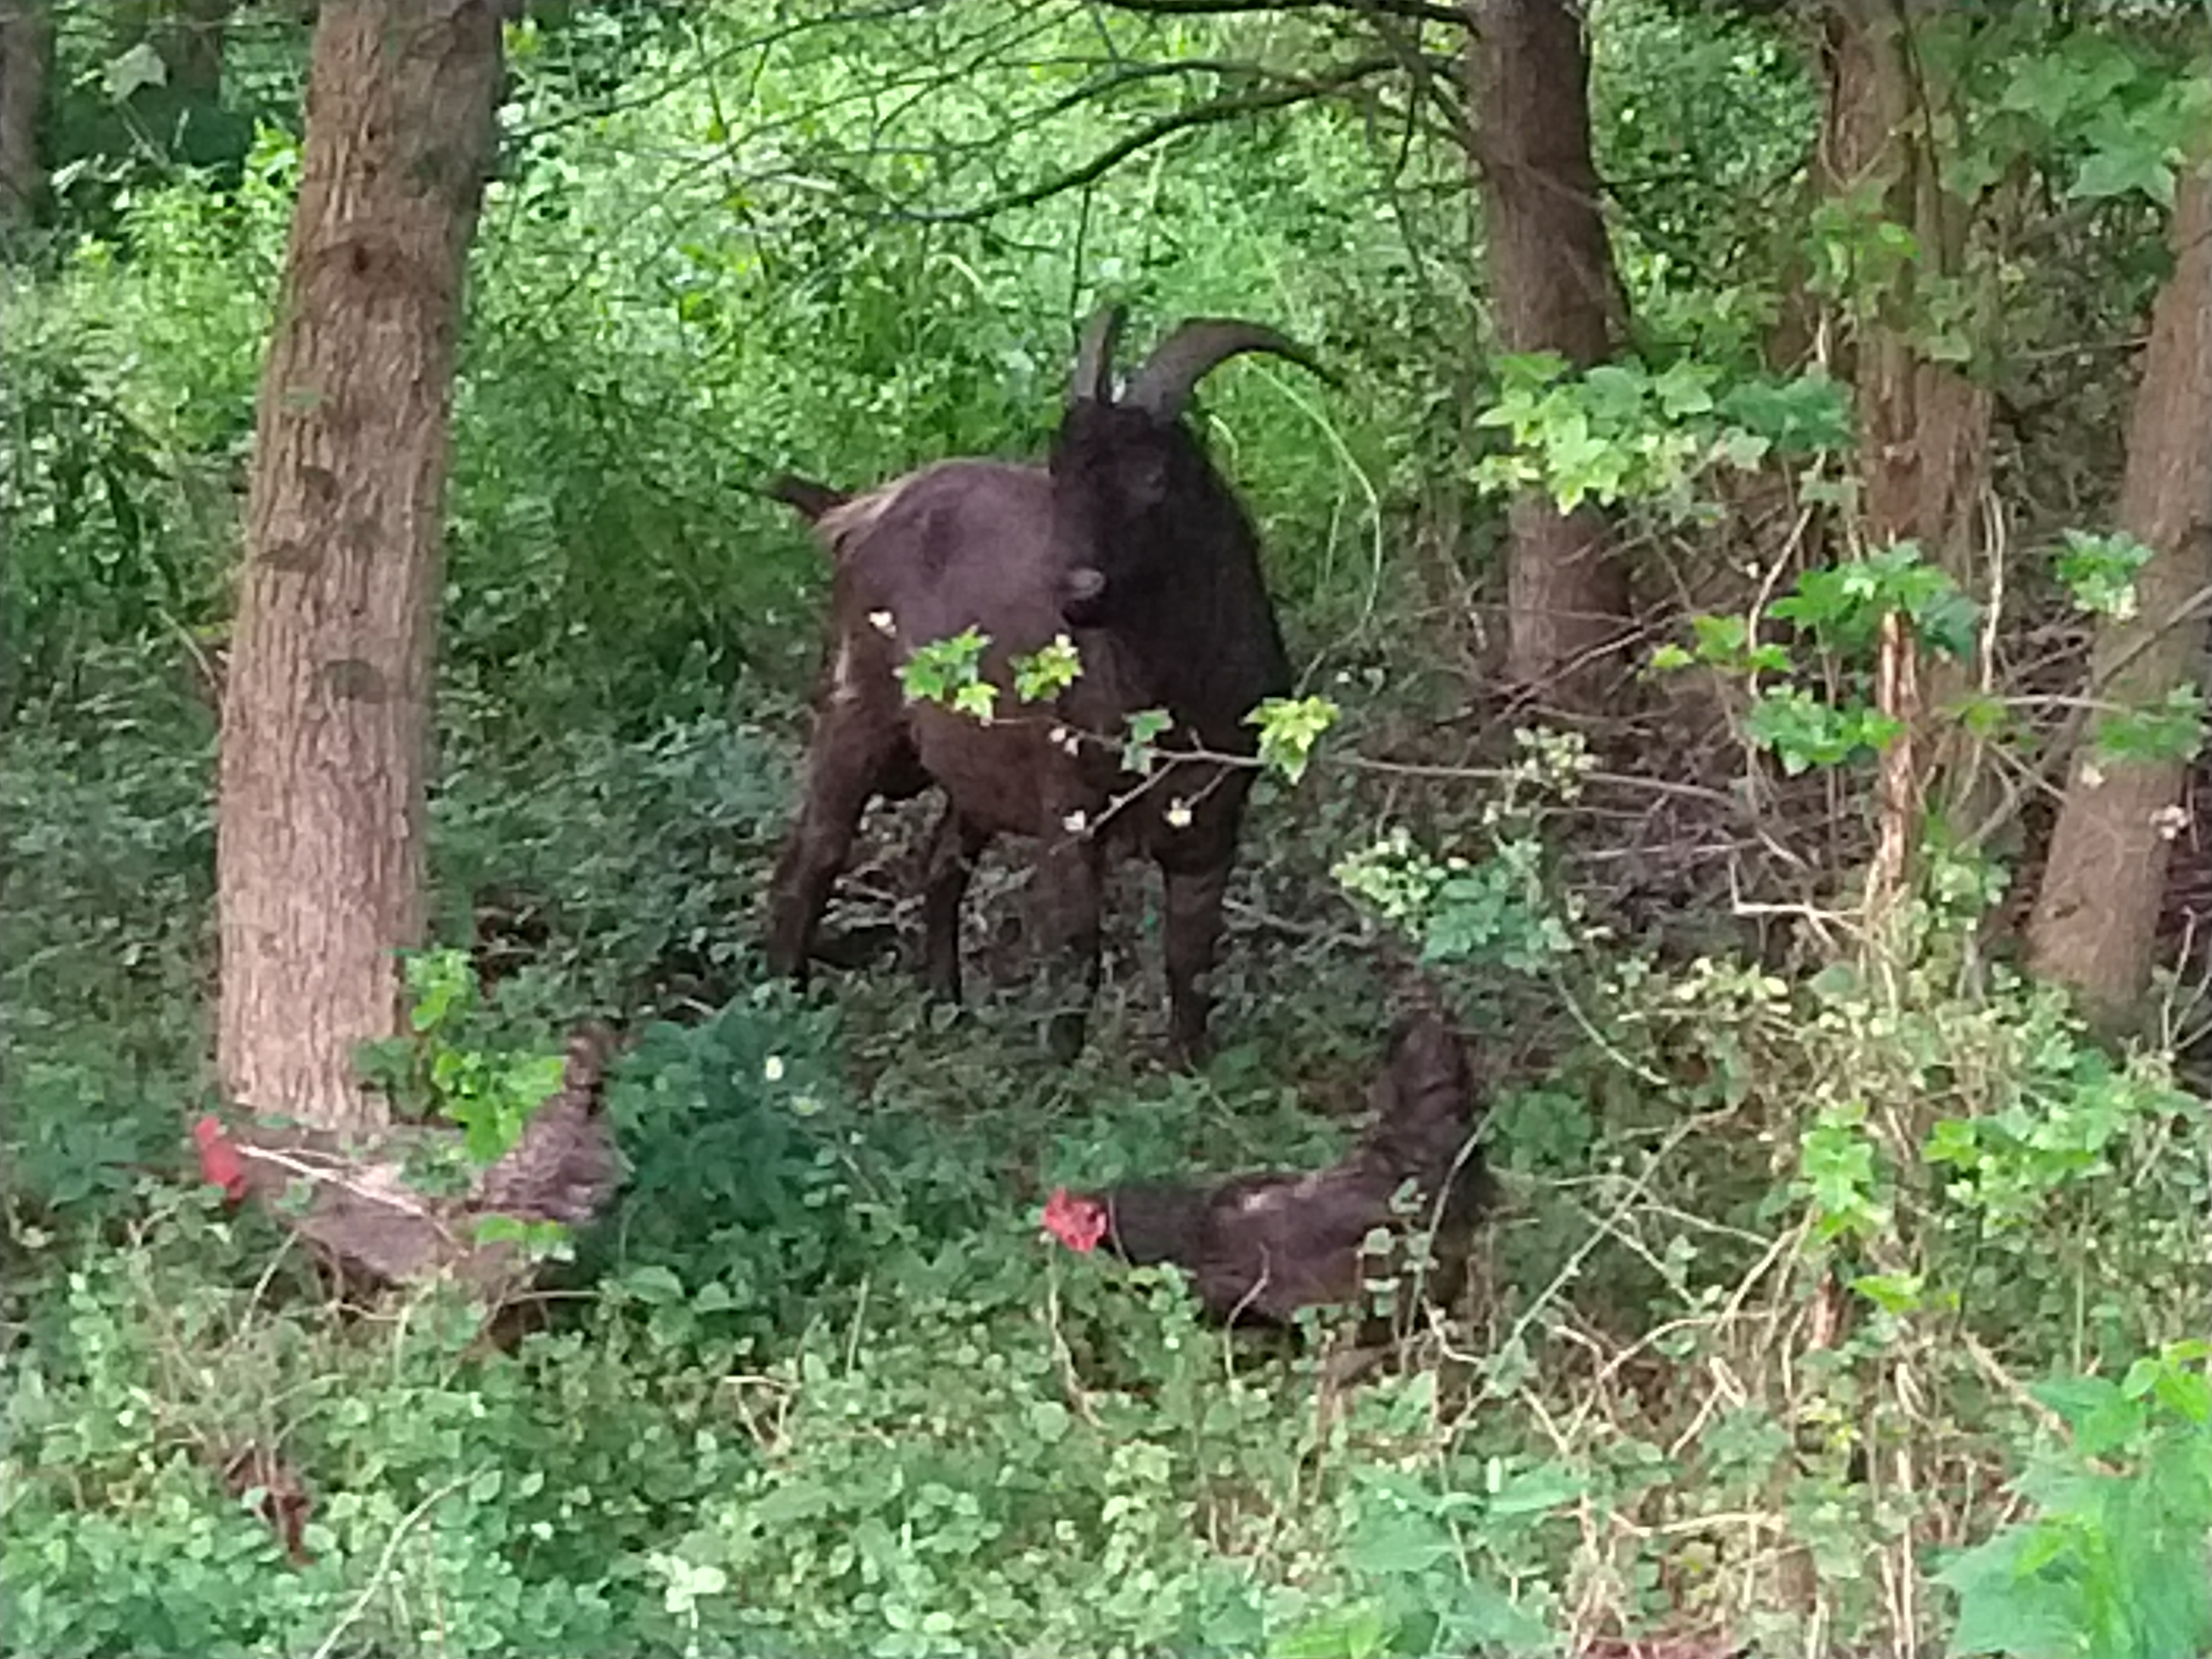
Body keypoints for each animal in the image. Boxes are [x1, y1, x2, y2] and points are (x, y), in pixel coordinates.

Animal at [763, 307, 1323, 1064]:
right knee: (812, 858)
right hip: (856, 715)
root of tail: (858, 512)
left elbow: (1190, 961)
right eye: (1060, 473)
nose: (1078, 591)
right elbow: (1076, 951)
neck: (1169, 696)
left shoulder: (1214, 822)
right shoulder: (1069, 807)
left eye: (1154, 476)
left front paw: (1192, 1070)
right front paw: (1061, 1071)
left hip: (973, 766)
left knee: (940, 863)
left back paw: (946, 1006)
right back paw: (785, 1013)